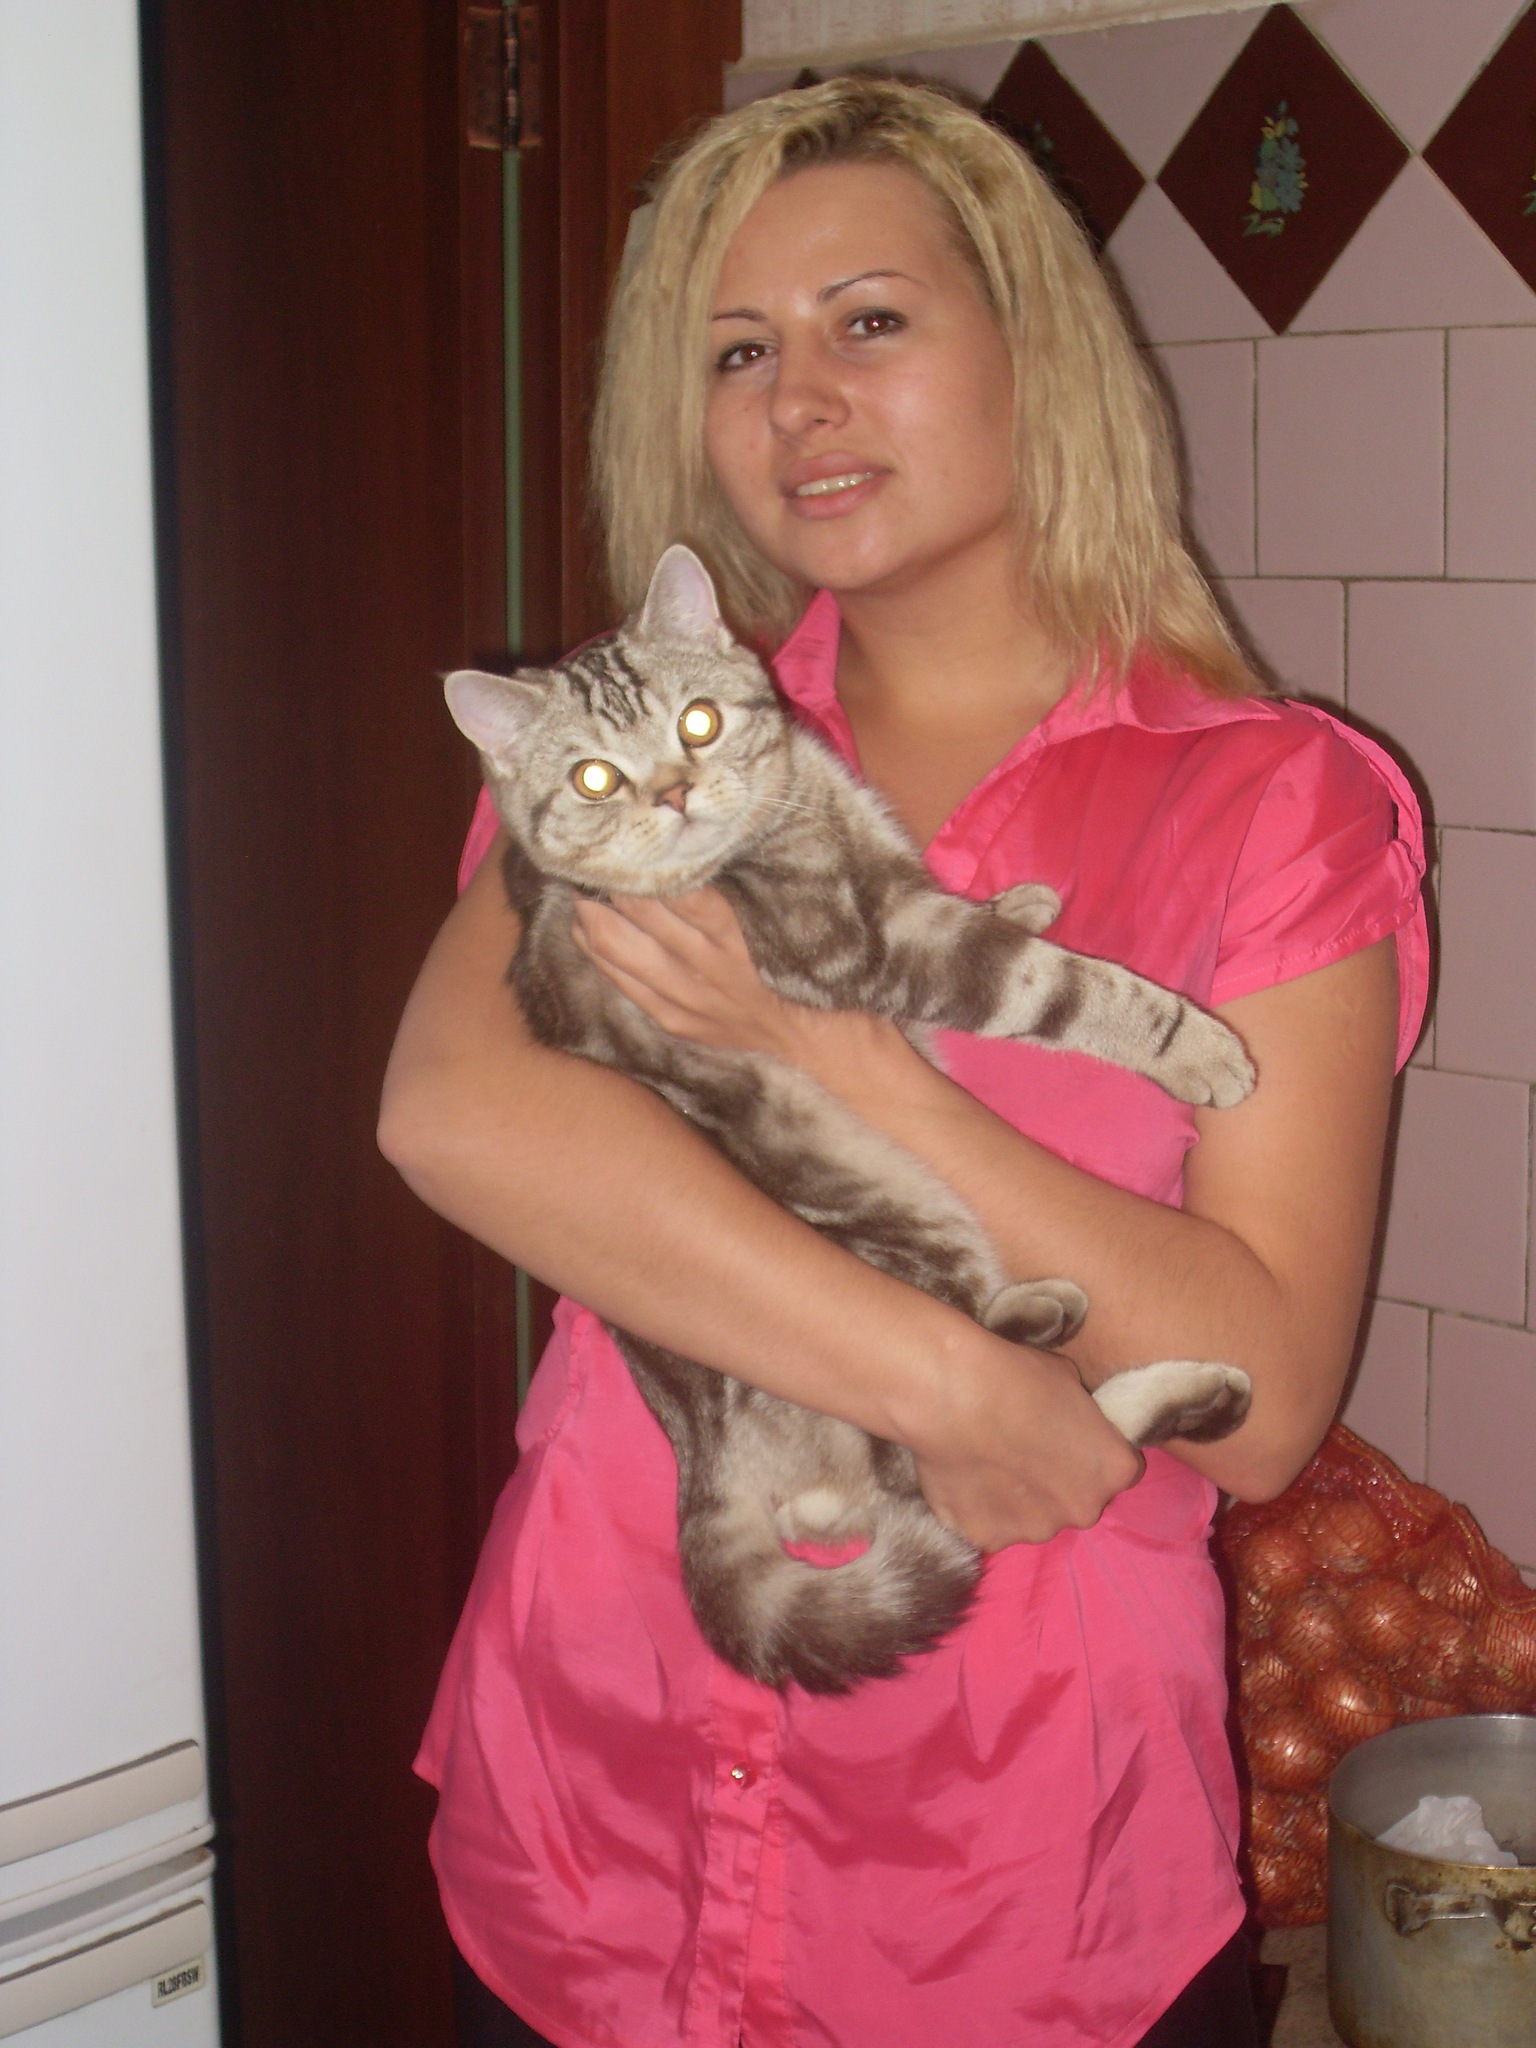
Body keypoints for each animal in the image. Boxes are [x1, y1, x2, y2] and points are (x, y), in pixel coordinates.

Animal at [444, 543, 1254, 1694]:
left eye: (698, 721)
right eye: (595, 777)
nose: (676, 790)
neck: (791, 805)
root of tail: (704, 1457)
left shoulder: (884, 876)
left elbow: (958, 898)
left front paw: (1018, 898)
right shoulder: (866, 941)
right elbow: (1057, 985)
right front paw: (1195, 1045)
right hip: (902, 1218)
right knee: (949, 1452)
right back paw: (1087, 1338)